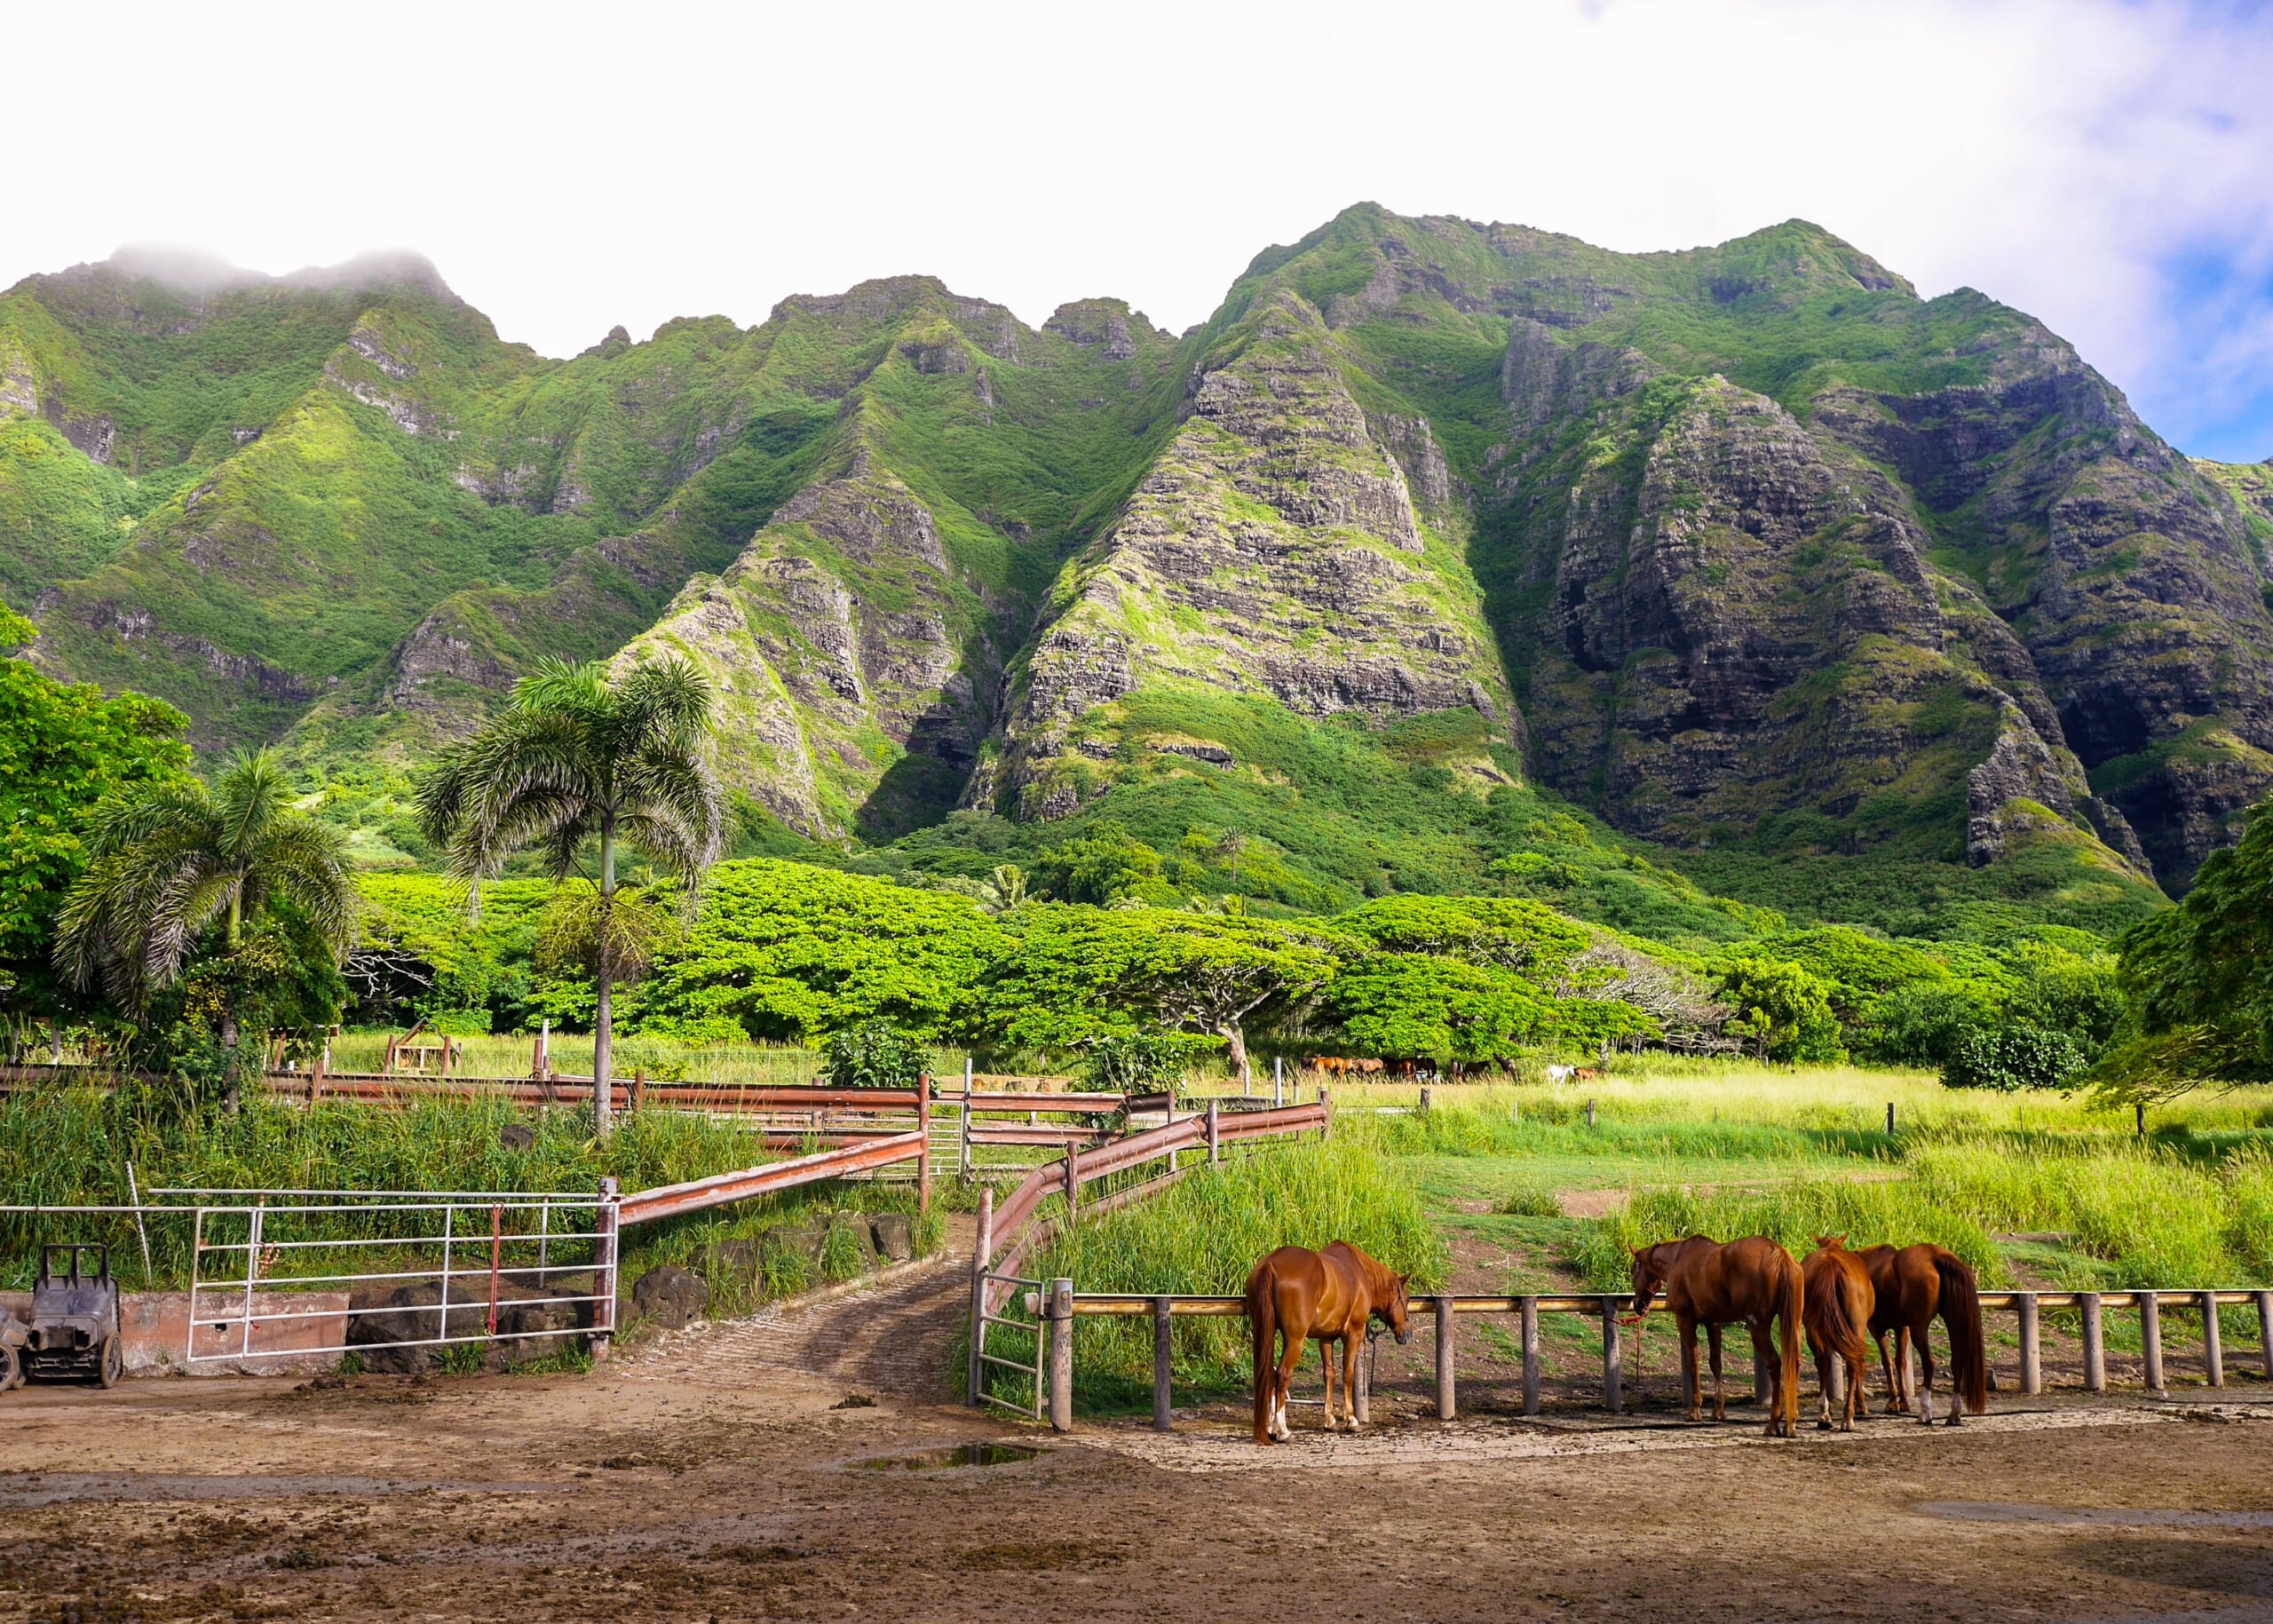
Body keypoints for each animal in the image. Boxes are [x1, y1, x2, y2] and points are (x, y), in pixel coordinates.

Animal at [1245, 1237, 1399, 1446]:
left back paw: (1269, 1427)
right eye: (1404, 1298)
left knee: (1267, 1373)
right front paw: (1351, 1420)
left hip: (1264, 1331)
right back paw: (1283, 1431)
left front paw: (1330, 1420)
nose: (1405, 1334)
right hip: (1295, 1340)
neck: (1359, 1274)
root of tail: (1271, 1264)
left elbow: (1329, 1374)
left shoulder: (1325, 1338)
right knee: (1282, 1375)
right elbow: (1348, 1373)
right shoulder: (1354, 1334)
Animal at [1627, 1228, 1800, 1428]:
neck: (1677, 1258)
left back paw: (1774, 1420)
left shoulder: (1685, 1321)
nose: (1638, 1305)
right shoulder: (1713, 1322)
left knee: (1774, 1362)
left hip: (1758, 1326)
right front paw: (1718, 1410)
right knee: (1794, 1362)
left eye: (1633, 1271)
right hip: (1792, 1325)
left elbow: (1693, 1362)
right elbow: (1715, 1363)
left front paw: (1695, 1409)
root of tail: (1778, 1253)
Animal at [1800, 1237, 1873, 1419]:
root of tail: (1831, 1264)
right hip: (1856, 1325)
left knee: (1823, 1361)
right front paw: (1861, 1404)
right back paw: (1848, 1414)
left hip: (1813, 1327)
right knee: (1853, 1363)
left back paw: (1825, 1411)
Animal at [1854, 1237, 1982, 1419]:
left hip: (1919, 1328)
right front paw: (1903, 1402)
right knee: (1956, 1362)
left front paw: (1892, 1402)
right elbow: (1900, 1361)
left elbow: (1887, 1361)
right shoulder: (1902, 1328)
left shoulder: (1877, 1328)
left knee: (1929, 1361)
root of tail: (1936, 1256)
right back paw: (1953, 1414)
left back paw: (1925, 1412)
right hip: (1952, 1324)